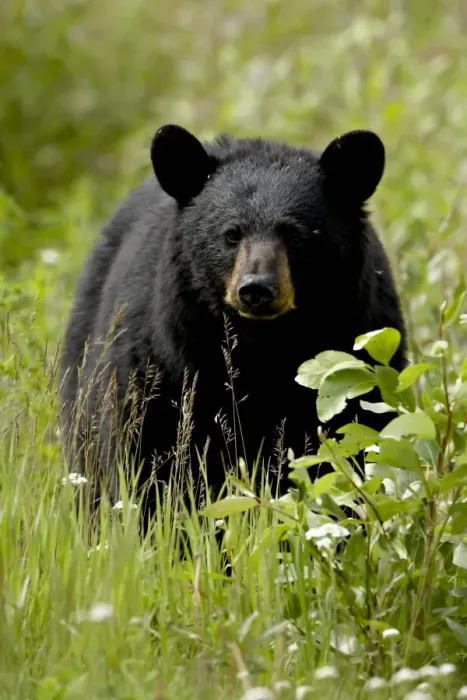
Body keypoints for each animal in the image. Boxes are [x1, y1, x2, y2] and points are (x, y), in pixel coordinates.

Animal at [59, 123, 407, 518]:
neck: (260, 347)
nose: (256, 288)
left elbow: (351, 438)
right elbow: (144, 455)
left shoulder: (357, 343)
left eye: (296, 235)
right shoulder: (159, 365)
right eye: (231, 234)